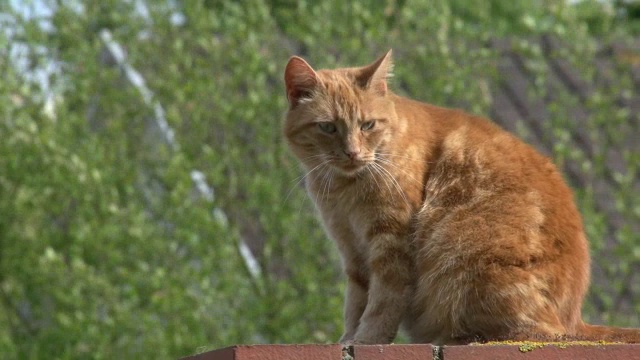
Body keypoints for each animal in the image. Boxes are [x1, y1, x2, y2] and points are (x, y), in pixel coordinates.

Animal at [282, 49, 636, 344]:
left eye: (367, 125)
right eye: (328, 127)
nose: (352, 153)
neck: (344, 189)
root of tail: (575, 320)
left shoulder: (390, 246)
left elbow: (381, 304)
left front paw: (366, 340)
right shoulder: (353, 252)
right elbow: (355, 304)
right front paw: (347, 339)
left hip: (465, 251)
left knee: (529, 331)